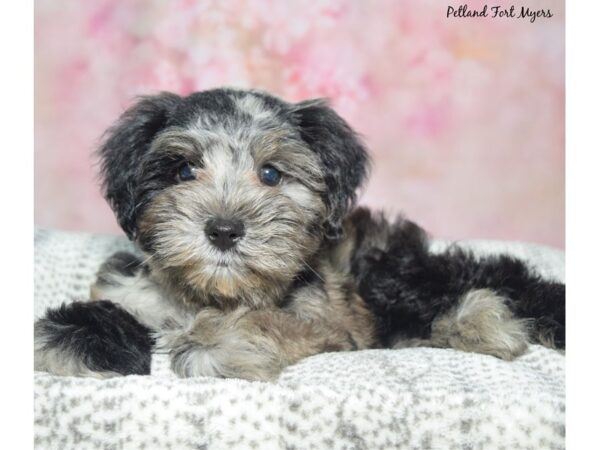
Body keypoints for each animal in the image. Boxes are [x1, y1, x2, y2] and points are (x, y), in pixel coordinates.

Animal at [34, 87, 568, 380]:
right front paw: (76, 336)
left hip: (385, 275)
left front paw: (217, 340)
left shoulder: (324, 322)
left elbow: (269, 321)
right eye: (183, 171)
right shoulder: (132, 289)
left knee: (482, 277)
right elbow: (115, 307)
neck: (213, 293)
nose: (223, 230)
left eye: (271, 174)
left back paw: (486, 320)